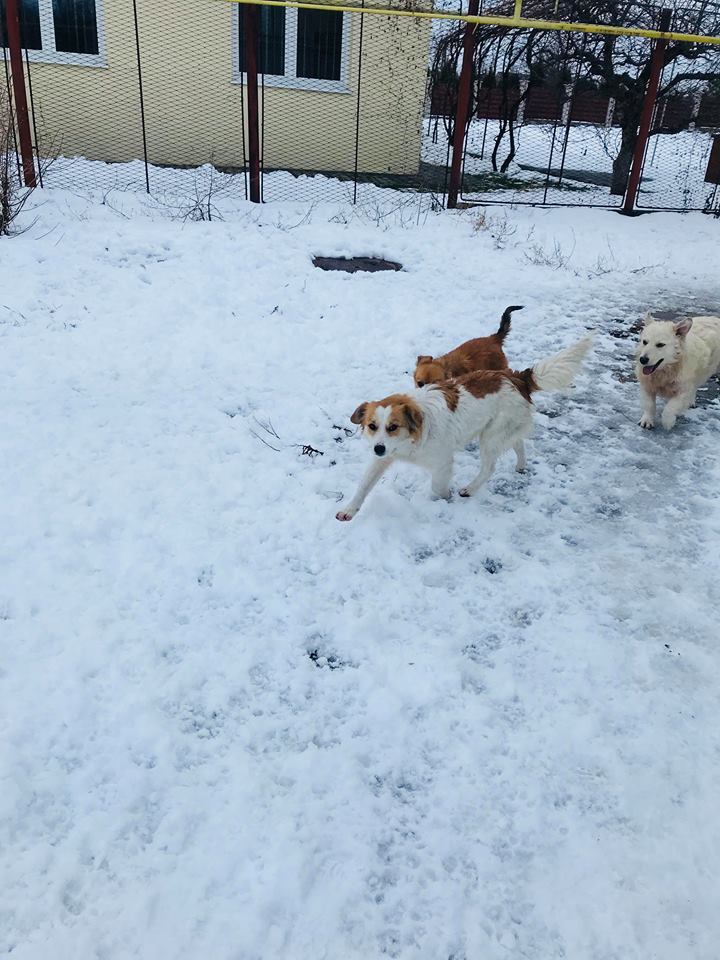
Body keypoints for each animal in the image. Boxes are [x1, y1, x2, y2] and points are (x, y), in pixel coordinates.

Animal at [338, 332, 596, 524]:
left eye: (393, 426)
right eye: (372, 426)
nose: (378, 449)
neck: (410, 439)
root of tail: (516, 377)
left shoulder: (442, 461)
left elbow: (437, 485)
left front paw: (444, 498)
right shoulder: (382, 458)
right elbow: (364, 484)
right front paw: (349, 510)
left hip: (490, 437)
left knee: (490, 467)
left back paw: (470, 489)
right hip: (503, 429)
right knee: (518, 442)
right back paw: (521, 465)